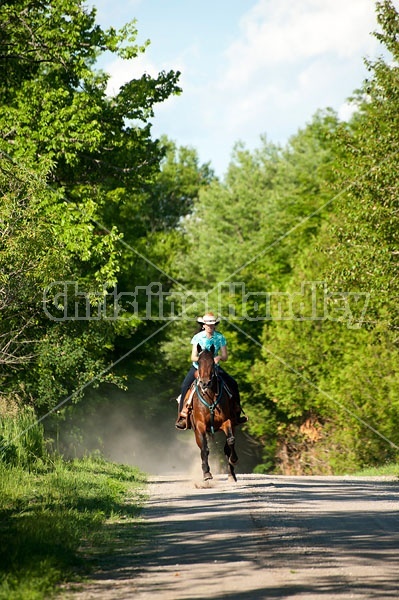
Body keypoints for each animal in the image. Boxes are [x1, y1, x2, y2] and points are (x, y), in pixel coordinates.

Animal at [189, 344, 239, 480]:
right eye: (199, 362)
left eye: (212, 362)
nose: (205, 383)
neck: (210, 397)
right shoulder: (200, 425)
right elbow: (204, 448)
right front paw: (206, 473)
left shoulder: (226, 421)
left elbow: (230, 440)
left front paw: (233, 460)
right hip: (196, 431)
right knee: (202, 447)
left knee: (228, 446)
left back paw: (231, 473)